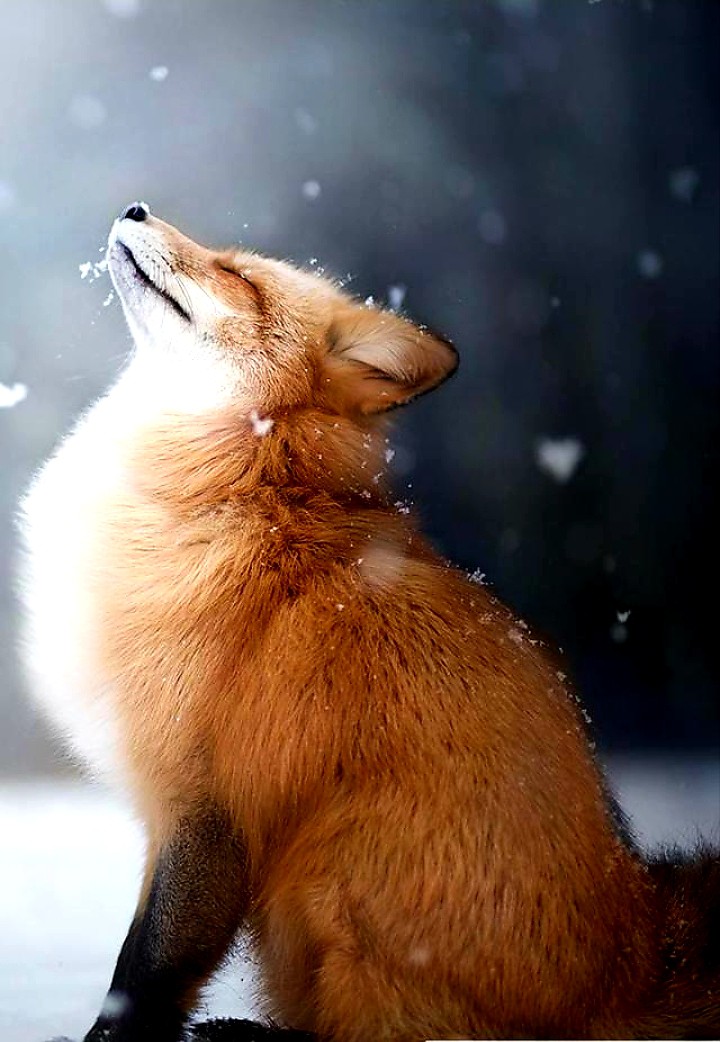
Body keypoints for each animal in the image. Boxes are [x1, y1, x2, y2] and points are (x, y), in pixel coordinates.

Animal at [18, 202, 718, 1042]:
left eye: (237, 275)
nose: (135, 208)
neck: (241, 484)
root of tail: (633, 958)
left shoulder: (207, 804)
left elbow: (144, 970)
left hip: (331, 874)